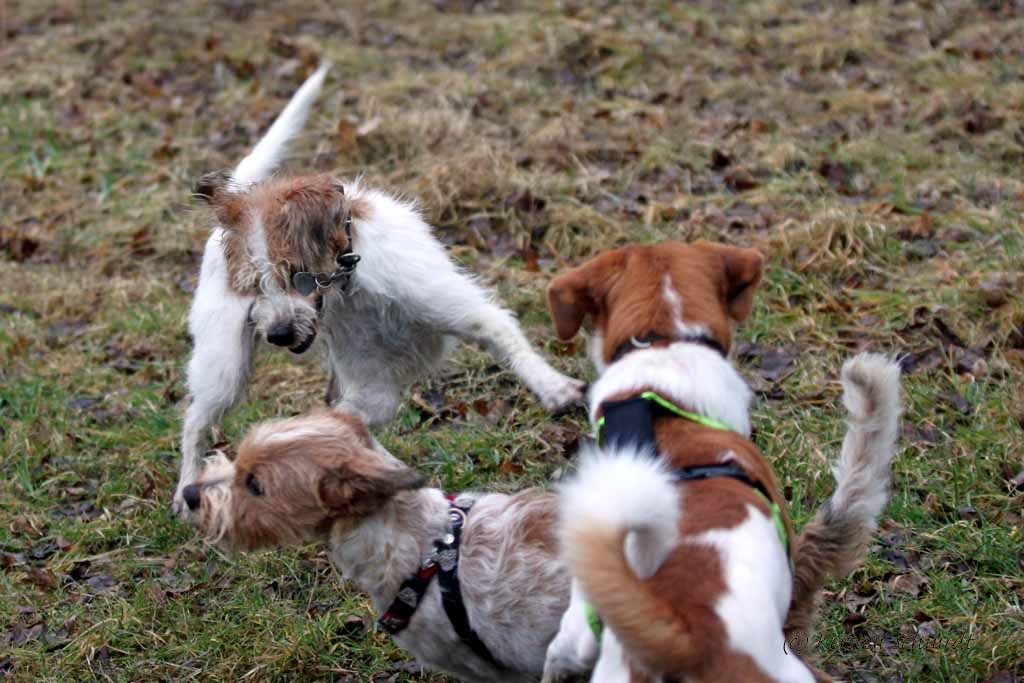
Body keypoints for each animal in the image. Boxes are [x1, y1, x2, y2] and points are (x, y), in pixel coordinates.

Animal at [176, 66, 585, 516]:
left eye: (297, 275)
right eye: (252, 288)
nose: (278, 335)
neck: (350, 281)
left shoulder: (452, 317)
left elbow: (502, 334)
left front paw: (554, 387)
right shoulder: (372, 385)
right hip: (224, 365)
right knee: (195, 420)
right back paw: (186, 487)